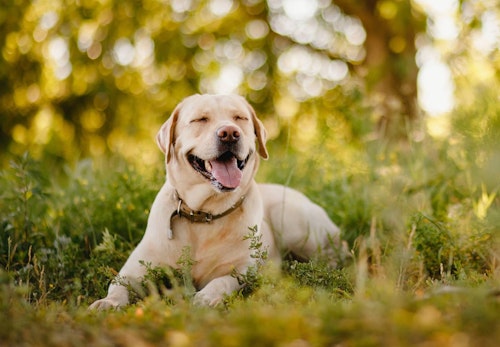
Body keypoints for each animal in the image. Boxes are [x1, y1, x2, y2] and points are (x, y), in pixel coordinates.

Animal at [89, 95, 340, 310]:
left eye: (240, 118)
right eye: (200, 119)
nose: (229, 133)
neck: (204, 213)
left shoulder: (242, 270)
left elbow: (222, 281)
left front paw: (206, 297)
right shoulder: (134, 269)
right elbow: (118, 285)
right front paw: (107, 303)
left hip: (291, 220)